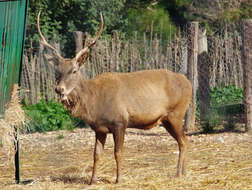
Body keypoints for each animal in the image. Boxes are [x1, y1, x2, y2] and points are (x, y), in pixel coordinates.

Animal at [37, 10, 191, 184]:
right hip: (167, 119)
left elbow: (118, 153)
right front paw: (92, 180)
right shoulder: (99, 128)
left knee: (184, 141)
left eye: (74, 71)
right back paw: (183, 172)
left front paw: (119, 179)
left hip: (176, 113)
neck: (94, 104)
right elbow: (96, 155)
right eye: (57, 72)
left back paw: (178, 173)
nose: (59, 89)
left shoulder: (120, 121)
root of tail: (188, 82)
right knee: (184, 141)